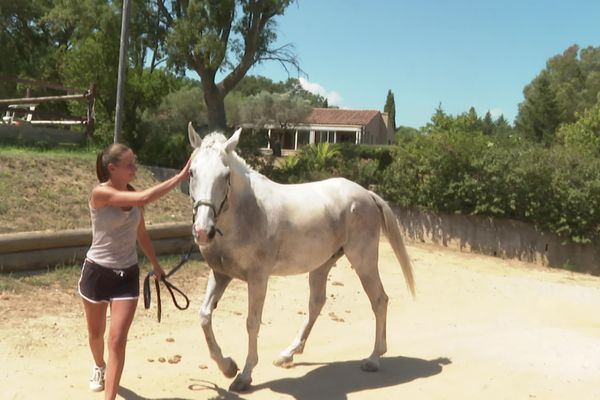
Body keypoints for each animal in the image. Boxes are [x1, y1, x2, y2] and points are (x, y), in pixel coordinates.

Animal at [188, 124, 418, 390]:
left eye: (225, 176)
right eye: (192, 172)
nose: (203, 232)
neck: (247, 212)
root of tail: (368, 194)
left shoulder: (258, 278)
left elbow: (252, 322)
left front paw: (244, 376)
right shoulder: (221, 274)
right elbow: (204, 316)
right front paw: (228, 367)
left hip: (364, 261)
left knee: (379, 300)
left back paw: (373, 359)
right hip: (322, 265)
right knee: (316, 304)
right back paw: (287, 354)